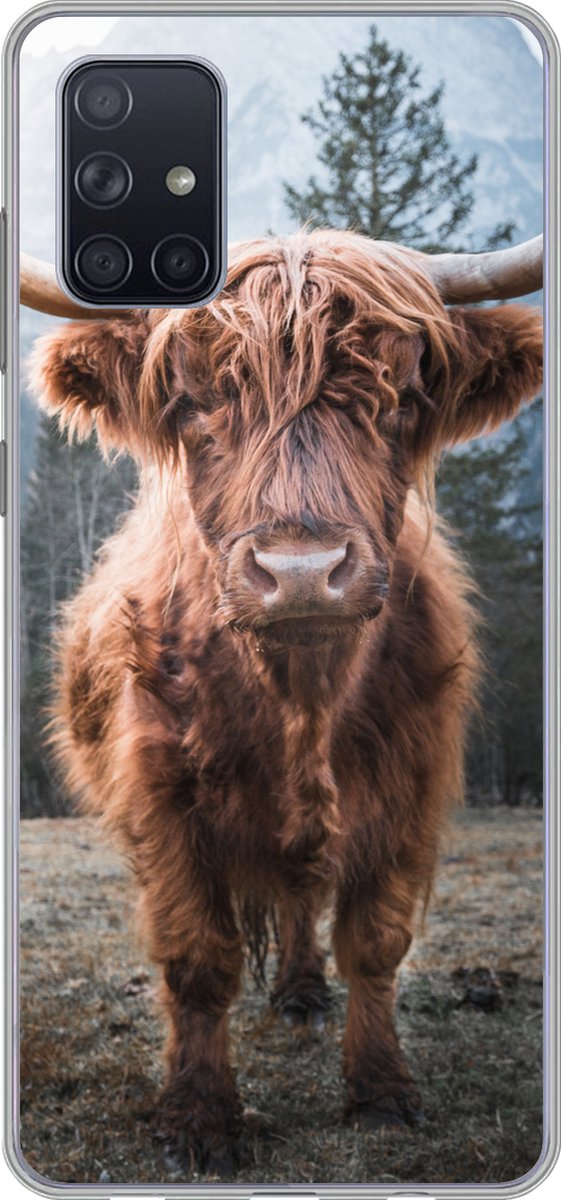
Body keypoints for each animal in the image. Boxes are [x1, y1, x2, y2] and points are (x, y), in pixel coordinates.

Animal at [22, 229, 543, 1174]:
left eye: (400, 394)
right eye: (193, 399)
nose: (301, 572)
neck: (300, 699)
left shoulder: (410, 787)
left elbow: (373, 944)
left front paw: (380, 1093)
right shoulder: (160, 798)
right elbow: (197, 957)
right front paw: (198, 1120)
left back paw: (303, 992)